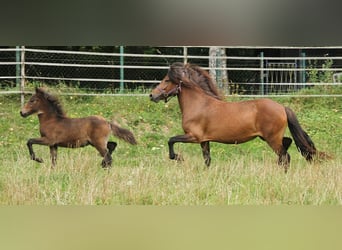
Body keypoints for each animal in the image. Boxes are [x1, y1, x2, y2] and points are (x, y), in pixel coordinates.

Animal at [150, 61, 326, 173]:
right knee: (287, 145)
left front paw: (178, 158)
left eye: (167, 80)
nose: (152, 95)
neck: (199, 104)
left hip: (272, 139)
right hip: (269, 137)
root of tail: (282, 107)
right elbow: (207, 159)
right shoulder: (204, 140)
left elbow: (171, 140)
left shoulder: (194, 136)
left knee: (285, 156)